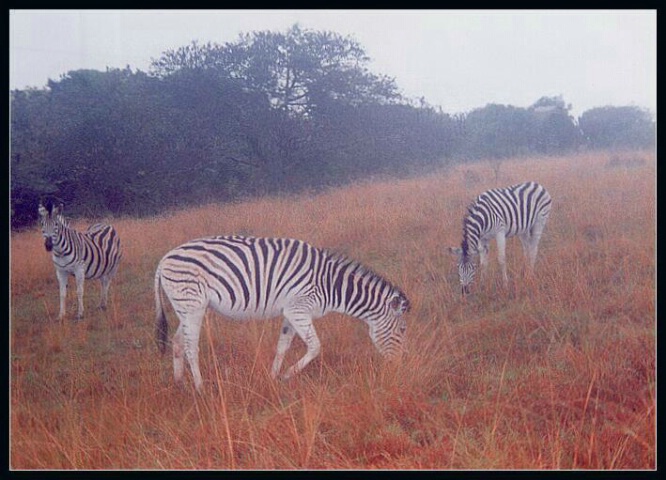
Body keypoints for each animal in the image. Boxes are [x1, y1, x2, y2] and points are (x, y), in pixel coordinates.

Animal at [153, 234, 408, 392]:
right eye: (403, 330)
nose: (398, 368)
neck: (330, 284)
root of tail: (163, 260)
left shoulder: (291, 313)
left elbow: (282, 346)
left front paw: (273, 377)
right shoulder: (299, 309)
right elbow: (315, 347)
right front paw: (287, 375)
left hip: (187, 309)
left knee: (178, 341)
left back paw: (180, 384)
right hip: (192, 305)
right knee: (190, 347)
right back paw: (201, 388)